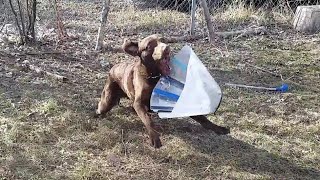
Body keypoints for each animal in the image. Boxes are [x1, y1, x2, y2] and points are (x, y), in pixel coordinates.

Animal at [95, 34, 230, 148]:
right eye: (149, 46)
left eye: (163, 39)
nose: (166, 48)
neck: (154, 77)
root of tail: (113, 67)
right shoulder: (139, 103)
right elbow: (148, 121)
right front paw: (155, 137)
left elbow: (202, 118)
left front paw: (218, 128)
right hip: (107, 101)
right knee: (101, 108)